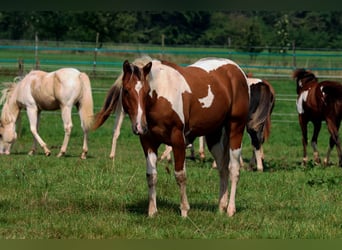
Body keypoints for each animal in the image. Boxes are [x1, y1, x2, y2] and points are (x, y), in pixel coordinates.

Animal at [93, 56, 248, 217]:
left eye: (146, 91)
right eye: (127, 91)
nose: (140, 127)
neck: (160, 95)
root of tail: (236, 69)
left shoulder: (178, 140)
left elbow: (180, 175)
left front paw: (184, 210)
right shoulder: (148, 142)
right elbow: (151, 176)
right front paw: (152, 211)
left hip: (236, 129)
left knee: (234, 169)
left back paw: (230, 209)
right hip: (214, 135)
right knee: (223, 168)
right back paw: (221, 207)